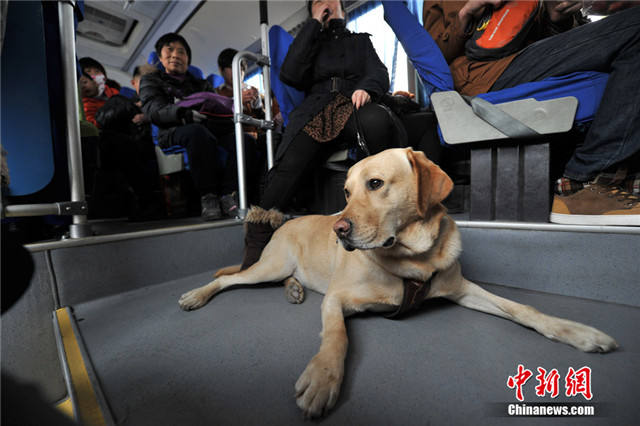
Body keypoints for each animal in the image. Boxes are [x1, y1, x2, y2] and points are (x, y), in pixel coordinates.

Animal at [178, 148, 616, 418]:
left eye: (375, 184)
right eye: (346, 192)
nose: (339, 229)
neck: (413, 260)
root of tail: (286, 219)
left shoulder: (462, 288)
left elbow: (522, 307)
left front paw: (576, 331)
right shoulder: (336, 299)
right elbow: (337, 337)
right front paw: (323, 378)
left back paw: (295, 289)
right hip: (267, 266)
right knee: (230, 280)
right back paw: (197, 295)